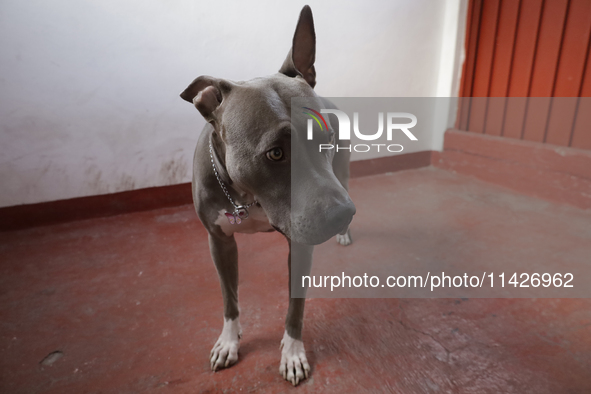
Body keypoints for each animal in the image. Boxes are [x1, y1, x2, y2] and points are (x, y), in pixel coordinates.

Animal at [180, 5, 356, 384]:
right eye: (275, 153)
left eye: (327, 138)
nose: (342, 214)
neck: (247, 197)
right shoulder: (219, 241)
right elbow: (229, 298)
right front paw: (229, 341)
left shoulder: (300, 244)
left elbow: (296, 305)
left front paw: (292, 351)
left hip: (343, 174)